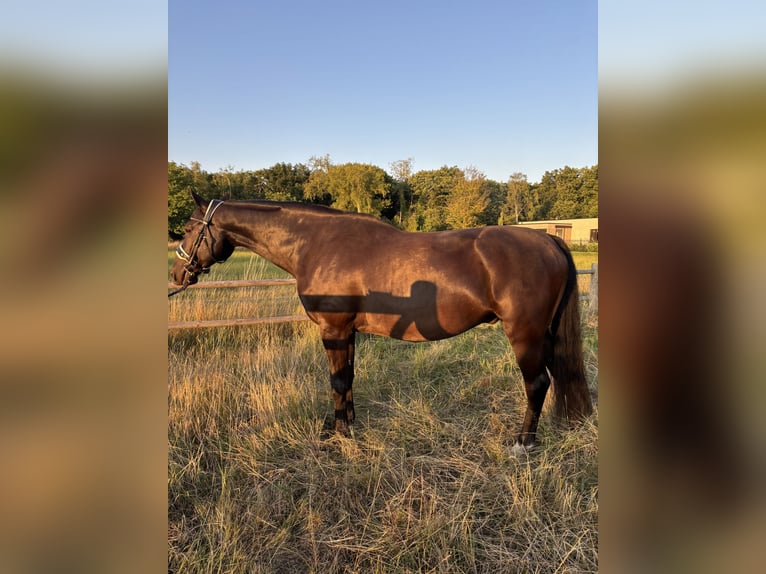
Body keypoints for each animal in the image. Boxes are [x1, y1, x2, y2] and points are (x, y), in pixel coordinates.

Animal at [170, 192, 592, 452]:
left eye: (189, 229)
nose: (176, 275)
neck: (316, 242)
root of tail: (549, 240)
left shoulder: (333, 329)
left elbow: (337, 380)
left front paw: (338, 435)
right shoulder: (347, 332)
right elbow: (348, 376)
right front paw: (347, 423)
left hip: (524, 335)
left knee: (537, 383)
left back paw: (523, 442)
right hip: (545, 335)